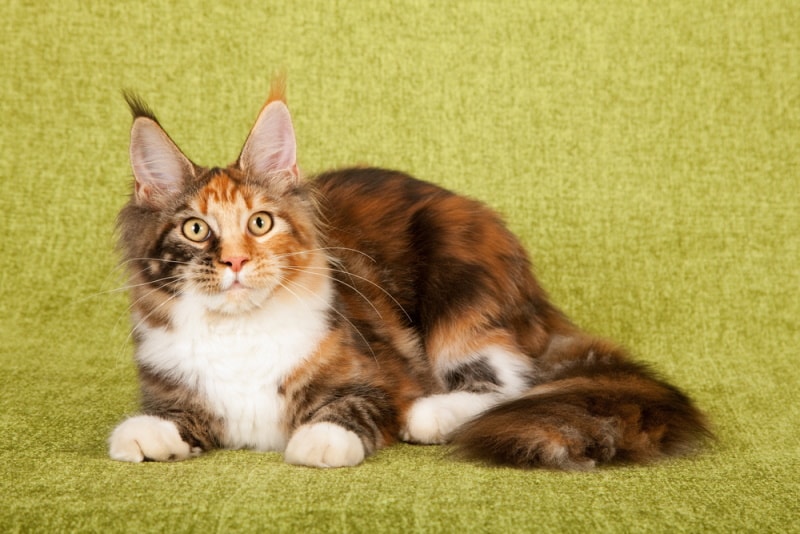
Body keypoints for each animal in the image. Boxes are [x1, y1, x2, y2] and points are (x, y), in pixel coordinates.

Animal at [109, 77, 708, 472]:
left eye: (260, 222)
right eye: (195, 229)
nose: (235, 262)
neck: (238, 335)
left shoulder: (377, 373)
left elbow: (350, 407)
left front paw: (320, 440)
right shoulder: (176, 385)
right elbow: (171, 417)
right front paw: (143, 434)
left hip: (458, 289)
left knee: (514, 380)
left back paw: (434, 415)